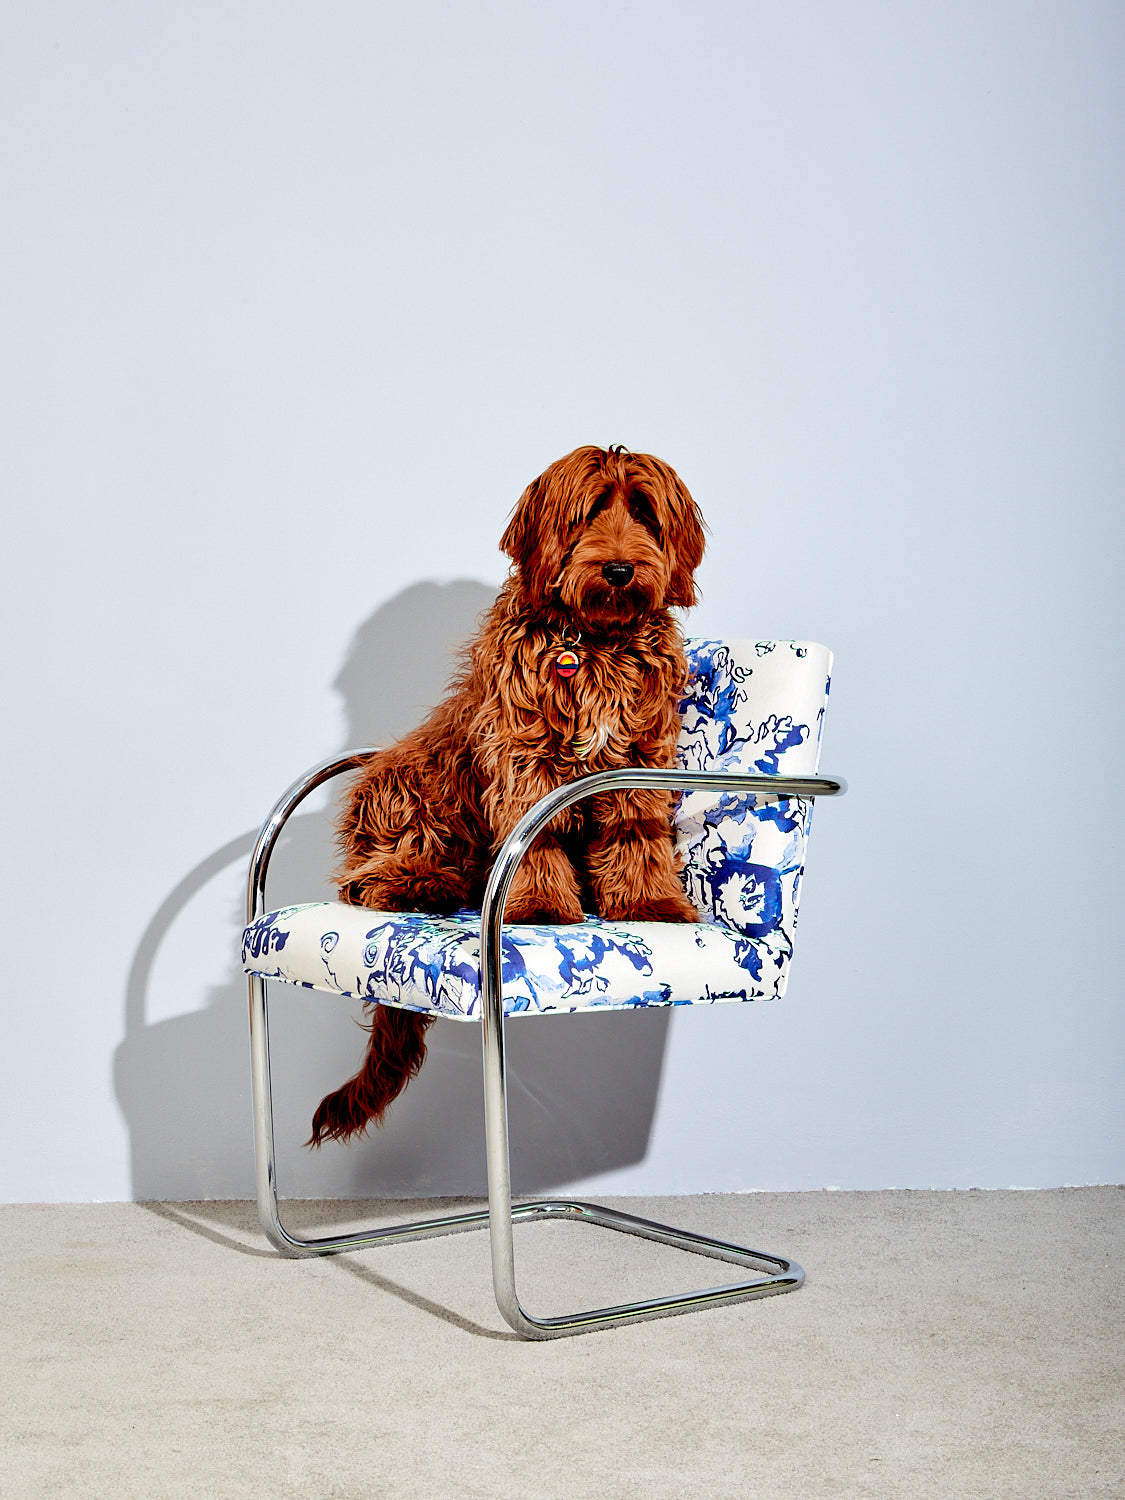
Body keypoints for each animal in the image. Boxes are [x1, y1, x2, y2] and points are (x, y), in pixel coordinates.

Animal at [309, 444, 708, 1146]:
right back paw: (417, 885)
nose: (620, 568)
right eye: (589, 512)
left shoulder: (640, 759)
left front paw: (650, 903)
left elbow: (637, 833)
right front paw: (545, 906)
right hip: (412, 783)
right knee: (367, 881)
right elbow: (537, 834)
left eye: (643, 512)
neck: (595, 642)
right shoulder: (523, 754)